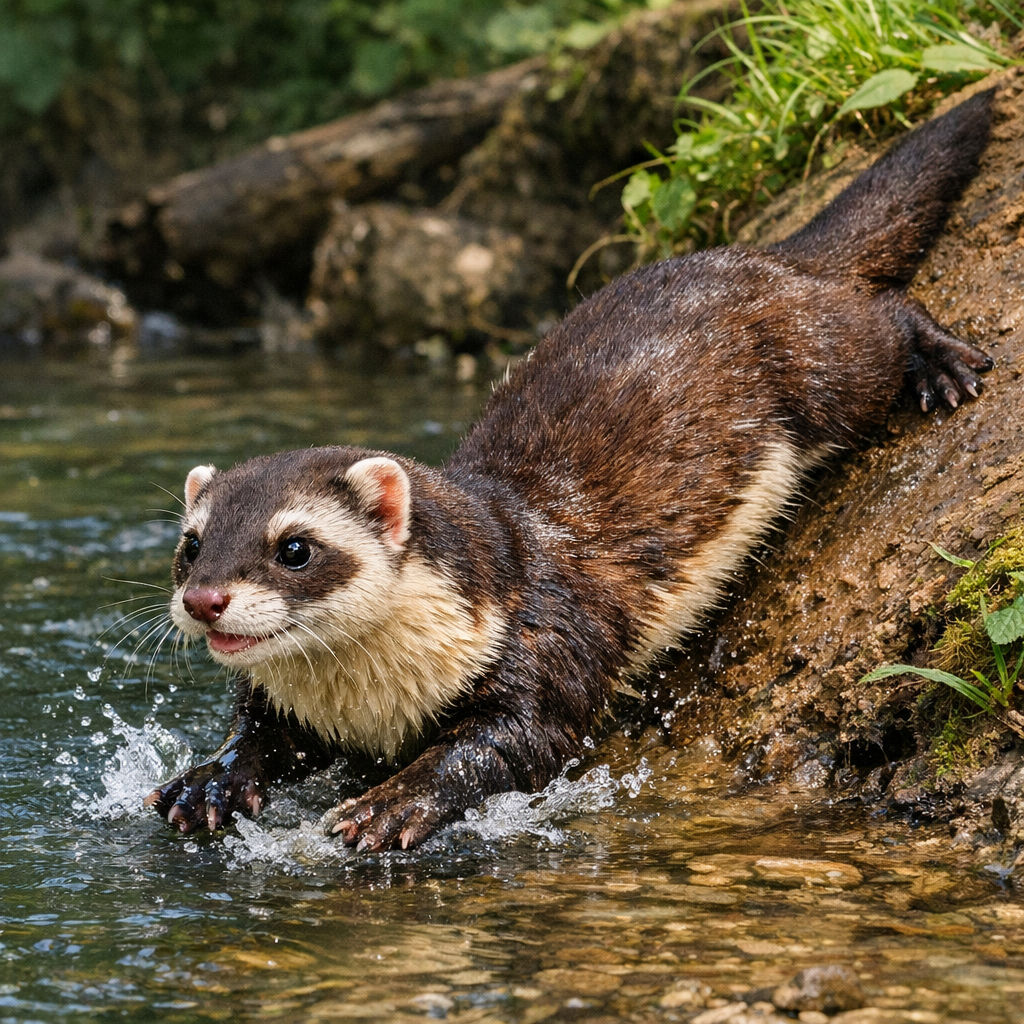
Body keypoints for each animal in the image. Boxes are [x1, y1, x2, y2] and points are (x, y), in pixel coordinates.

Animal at [146, 90, 995, 851]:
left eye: (294, 546)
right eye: (191, 543)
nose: (205, 598)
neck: (376, 701)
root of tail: (765, 254)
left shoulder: (545, 646)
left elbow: (506, 746)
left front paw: (390, 805)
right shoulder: (290, 710)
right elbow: (257, 736)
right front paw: (206, 784)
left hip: (832, 367)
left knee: (884, 317)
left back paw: (945, 364)